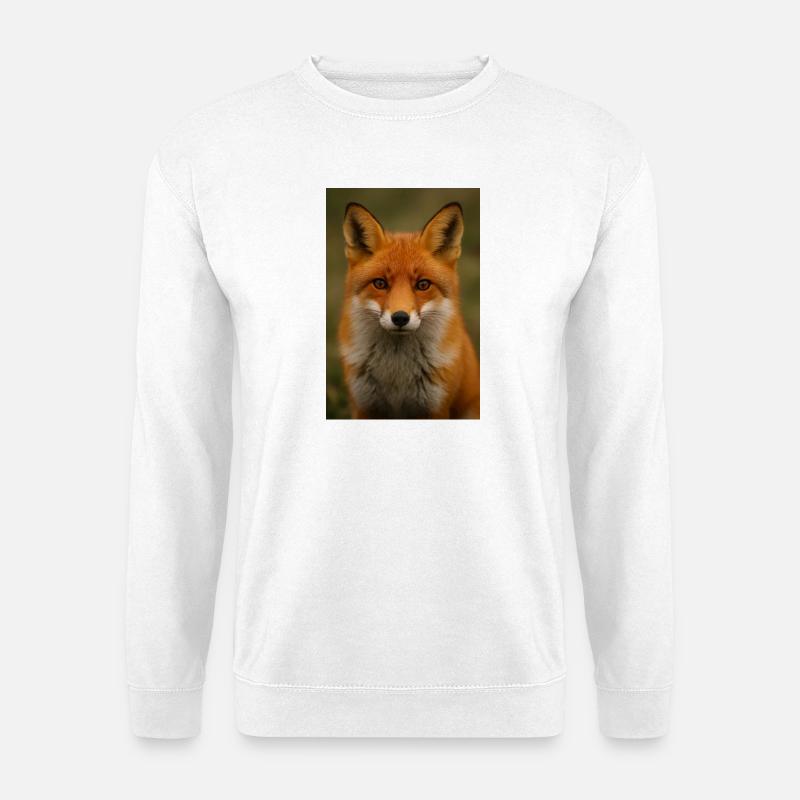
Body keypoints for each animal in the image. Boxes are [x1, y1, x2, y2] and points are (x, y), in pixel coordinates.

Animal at [338, 201, 480, 419]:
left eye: (423, 285)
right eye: (380, 283)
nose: (400, 318)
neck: (397, 374)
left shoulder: (436, 407)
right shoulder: (363, 406)